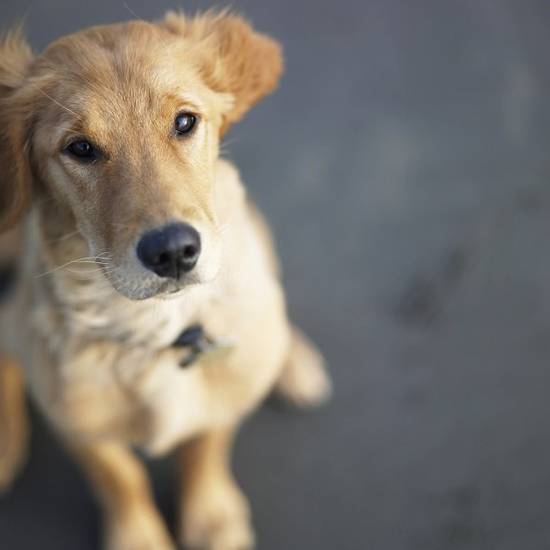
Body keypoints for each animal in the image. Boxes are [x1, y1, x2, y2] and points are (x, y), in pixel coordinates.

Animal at [0, 9, 334, 550]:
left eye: (184, 122)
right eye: (80, 148)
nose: (173, 251)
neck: (159, 328)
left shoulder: (222, 395)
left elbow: (205, 446)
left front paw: (212, 517)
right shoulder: (76, 420)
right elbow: (118, 476)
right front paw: (138, 537)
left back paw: (293, 359)